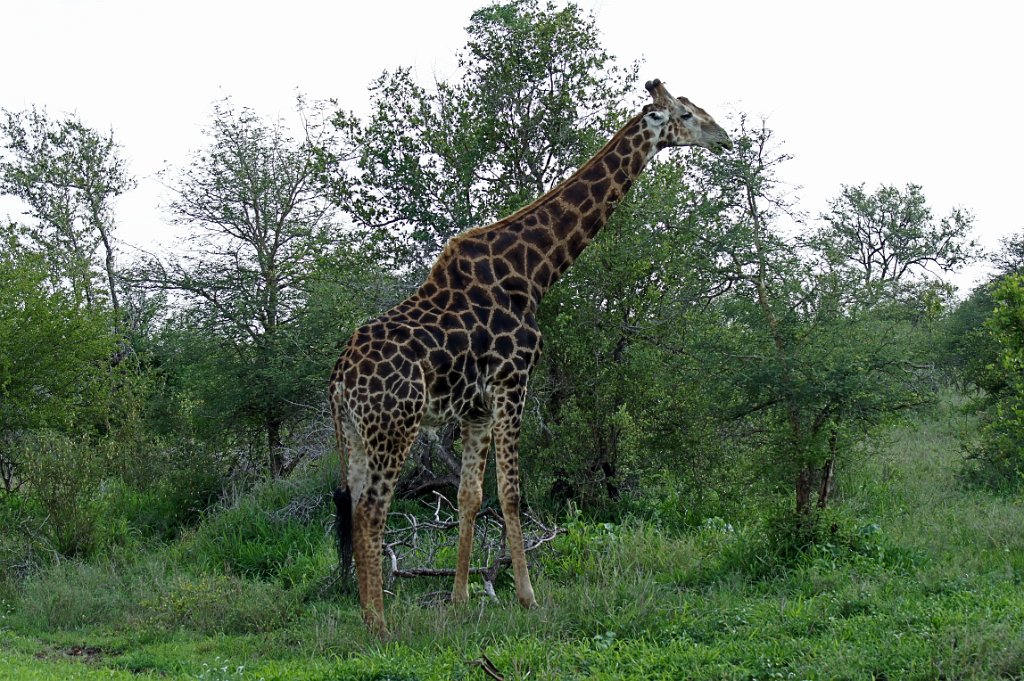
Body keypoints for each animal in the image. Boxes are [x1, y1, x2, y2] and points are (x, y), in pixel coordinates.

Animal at [330, 79, 731, 634]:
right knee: (372, 509)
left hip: (356, 431)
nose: (725, 138)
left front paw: (460, 601)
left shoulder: (475, 407)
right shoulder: (513, 381)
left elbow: (470, 497)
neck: (532, 272)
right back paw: (380, 626)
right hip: (395, 423)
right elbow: (513, 494)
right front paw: (527, 597)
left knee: (356, 507)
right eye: (687, 113)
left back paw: (369, 616)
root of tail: (338, 380)